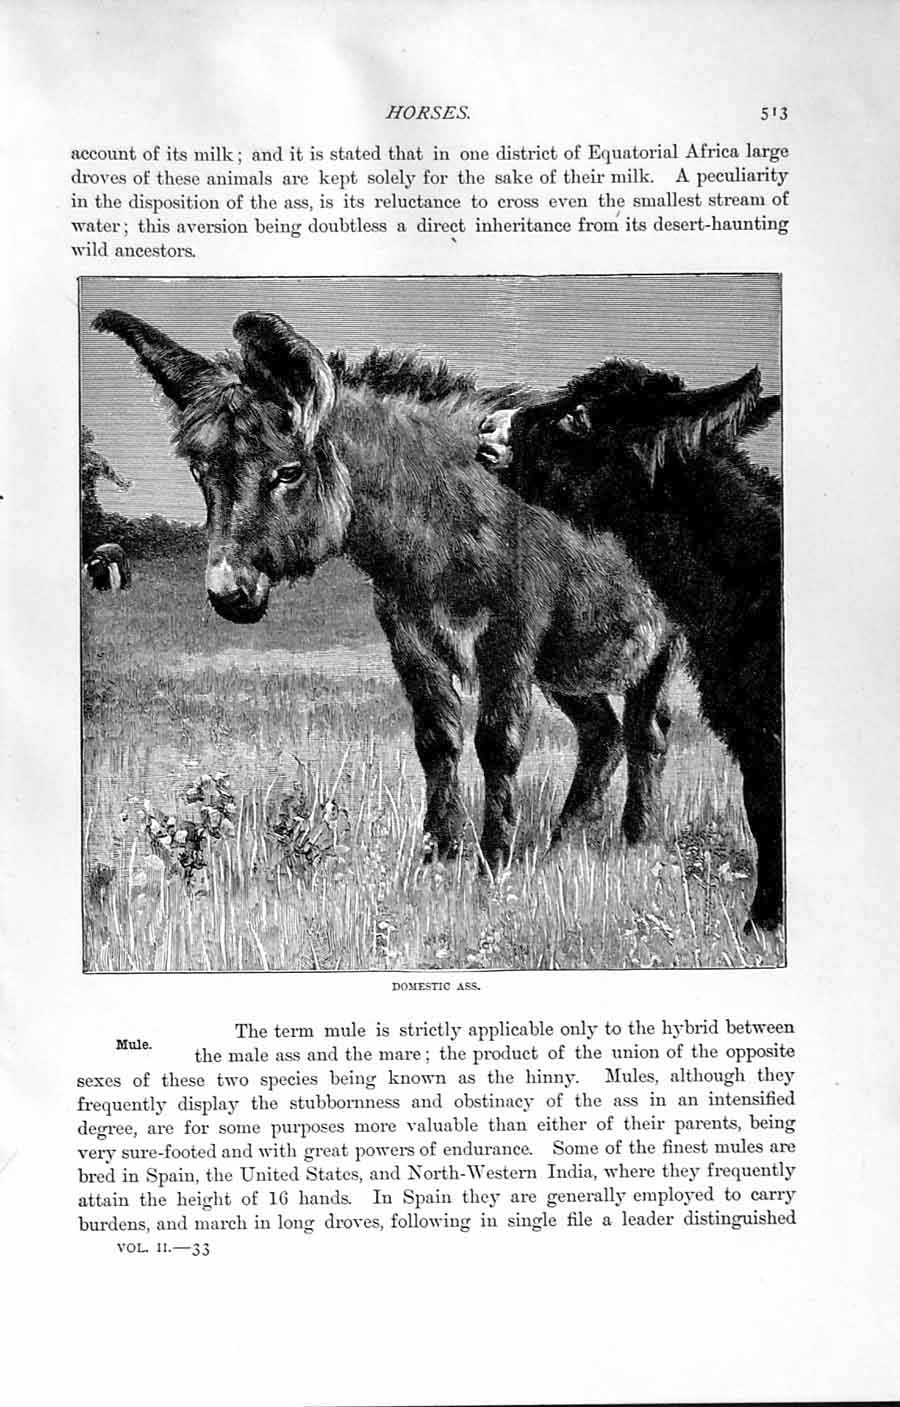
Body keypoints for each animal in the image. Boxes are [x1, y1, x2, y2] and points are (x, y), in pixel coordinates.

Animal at [93, 309, 682, 872]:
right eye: (201, 473)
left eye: (287, 472)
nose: (227, 594)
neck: (443, 515)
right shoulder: (408, 633)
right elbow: (436, 740)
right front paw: (438, 856)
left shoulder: (511, 636)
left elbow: (498, 743)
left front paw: (493, 864)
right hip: (568, 662)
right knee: (602, 735)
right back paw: (562, 842)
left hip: (657, 645)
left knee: (646, 733)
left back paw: (636, 840)